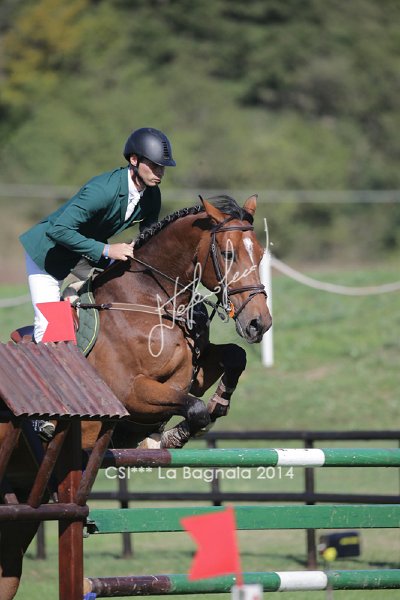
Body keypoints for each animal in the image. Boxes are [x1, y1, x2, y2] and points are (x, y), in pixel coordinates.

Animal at [0, 194, 272, 599]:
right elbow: (193, 409)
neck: (152, 299)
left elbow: (232, 360)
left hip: (21, 511)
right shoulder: (129, 394)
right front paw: (166, 437)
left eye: (261, 253)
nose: (259, 323)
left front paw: (217, 404)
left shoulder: (192, 373)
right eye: (227, 254)